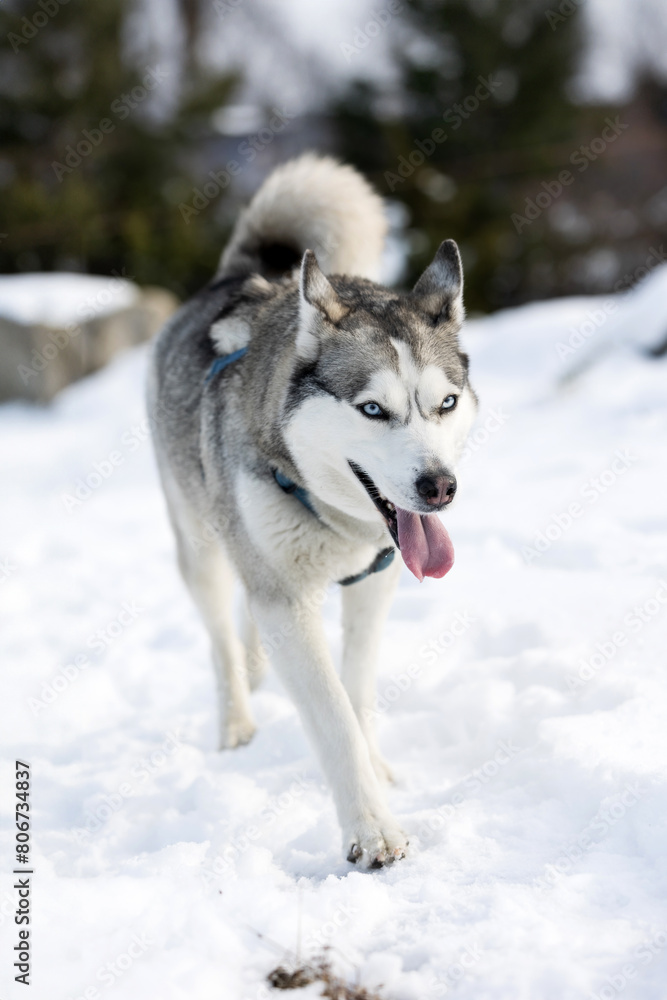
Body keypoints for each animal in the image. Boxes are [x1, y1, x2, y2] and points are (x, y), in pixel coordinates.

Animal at [149, 154, 478, 868]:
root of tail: (238, 273)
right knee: (220, 632)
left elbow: (356, 691)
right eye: (373, 409)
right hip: (200, 545)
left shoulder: (374, 582)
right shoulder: (285, 599)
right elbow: (332, 716)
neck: (337, 519)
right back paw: (237, 722)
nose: (440, 487)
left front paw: (377, 771)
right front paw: (372, 830)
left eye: (444, 403)